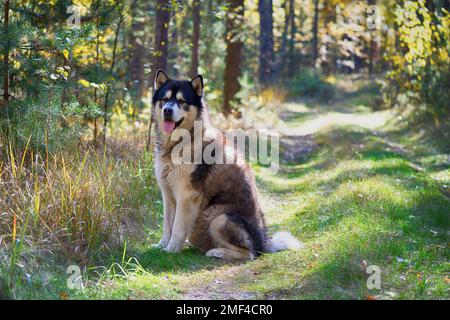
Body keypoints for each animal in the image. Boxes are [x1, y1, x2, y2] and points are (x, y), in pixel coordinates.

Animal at [152, 69, 302, 260]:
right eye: (164, 99)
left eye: (181, 101)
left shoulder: (186, 195)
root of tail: (264, 243)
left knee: (249, 253)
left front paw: (171, 249)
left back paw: (216, 252)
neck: (178, 144)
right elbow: (167, 224)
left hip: (218, 218)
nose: (167, 110)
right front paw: (161, 245)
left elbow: (177, 226)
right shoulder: (167, 193)